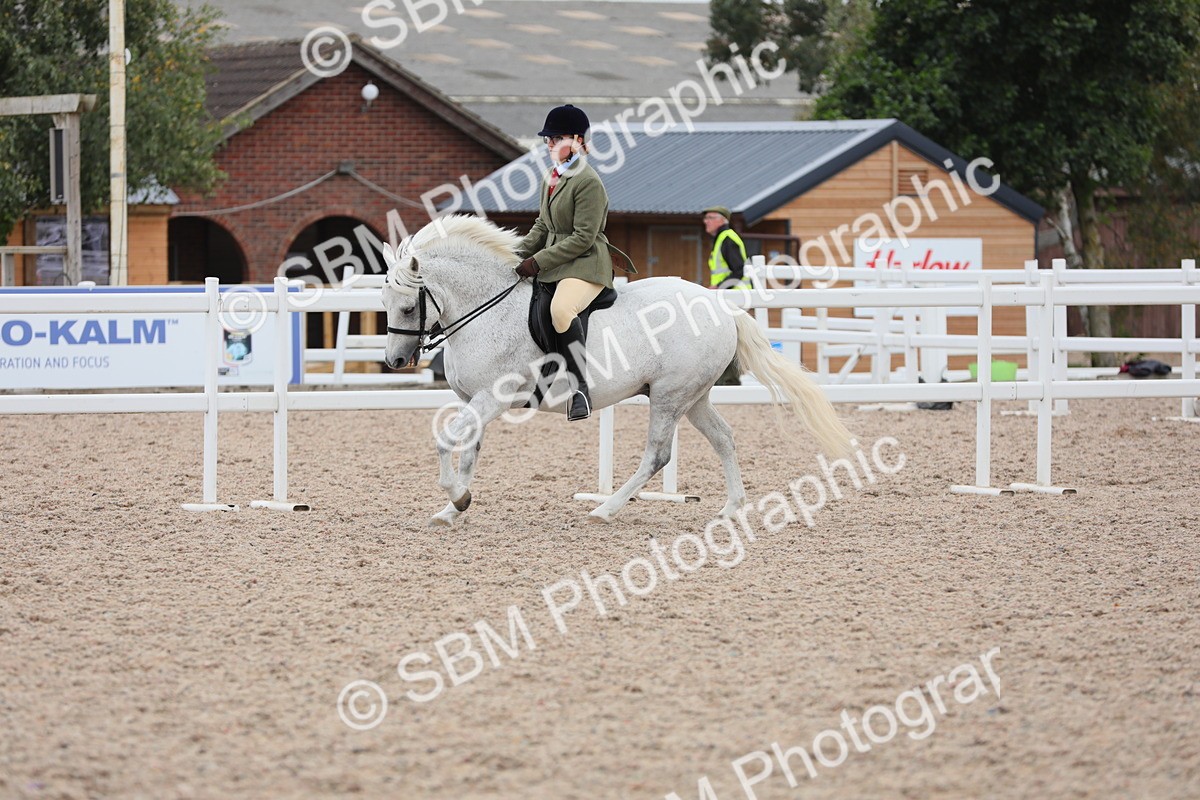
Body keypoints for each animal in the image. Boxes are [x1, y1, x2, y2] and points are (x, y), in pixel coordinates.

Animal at [380, 215, 851, 527]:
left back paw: (605, 509)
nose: (396, 362)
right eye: (385, 303)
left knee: (658, 455)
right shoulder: (473, 400)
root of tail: (722, 307)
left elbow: (445, 440)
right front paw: (454, 506)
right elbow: (469, 450)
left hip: (669, 395)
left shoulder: (494, 397)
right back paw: (731, 508)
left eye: (407, 307)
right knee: (724, 438)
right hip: (694, 396)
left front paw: (456, 499)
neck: (487, 309)